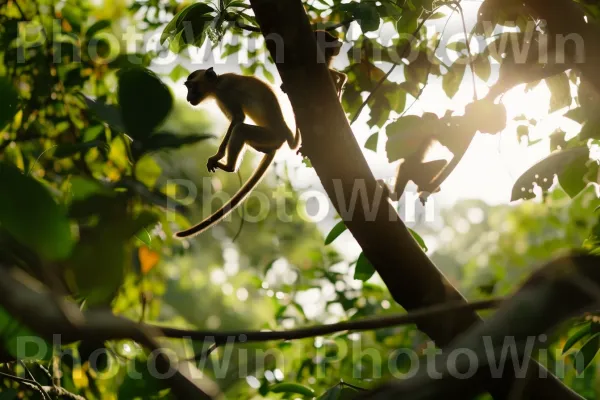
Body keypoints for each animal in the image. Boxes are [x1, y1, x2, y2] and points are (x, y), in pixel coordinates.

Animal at [176, 67, 300, 239]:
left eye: (191, 87)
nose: (188, 97)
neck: (216, 83)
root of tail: (283, 134)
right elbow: (234, 121)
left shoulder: (224, 92)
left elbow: (238, 119)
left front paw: (218, 156)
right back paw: (264, 150)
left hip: (269, 135)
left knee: (241, 129)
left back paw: (229, 166)